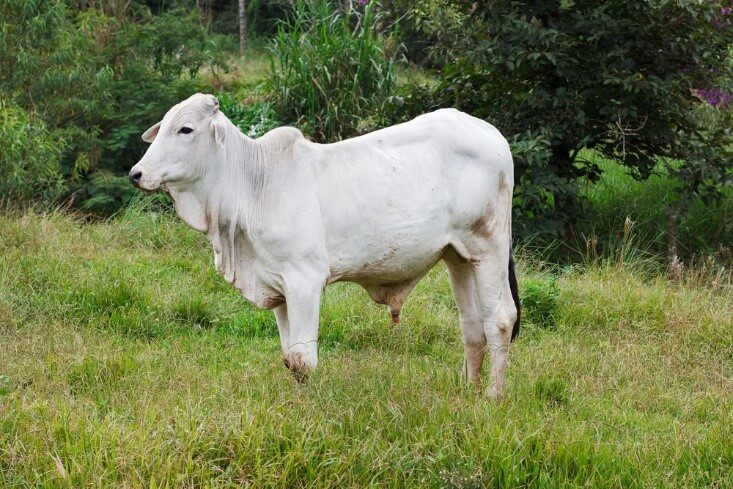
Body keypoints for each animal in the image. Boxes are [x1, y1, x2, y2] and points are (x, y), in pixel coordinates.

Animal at [130, 92, 520, 396]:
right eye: (162, 127)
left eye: (186, 129)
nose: (136, 174)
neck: (253, 184)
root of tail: (492, 133)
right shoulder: (278, 285)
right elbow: (289, 359)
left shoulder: (304, 279)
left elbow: (303, 361)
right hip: (458, 256)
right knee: (472, 326)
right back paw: (466, 391)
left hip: (489, 247)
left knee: (500, 320)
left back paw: (491, 397)